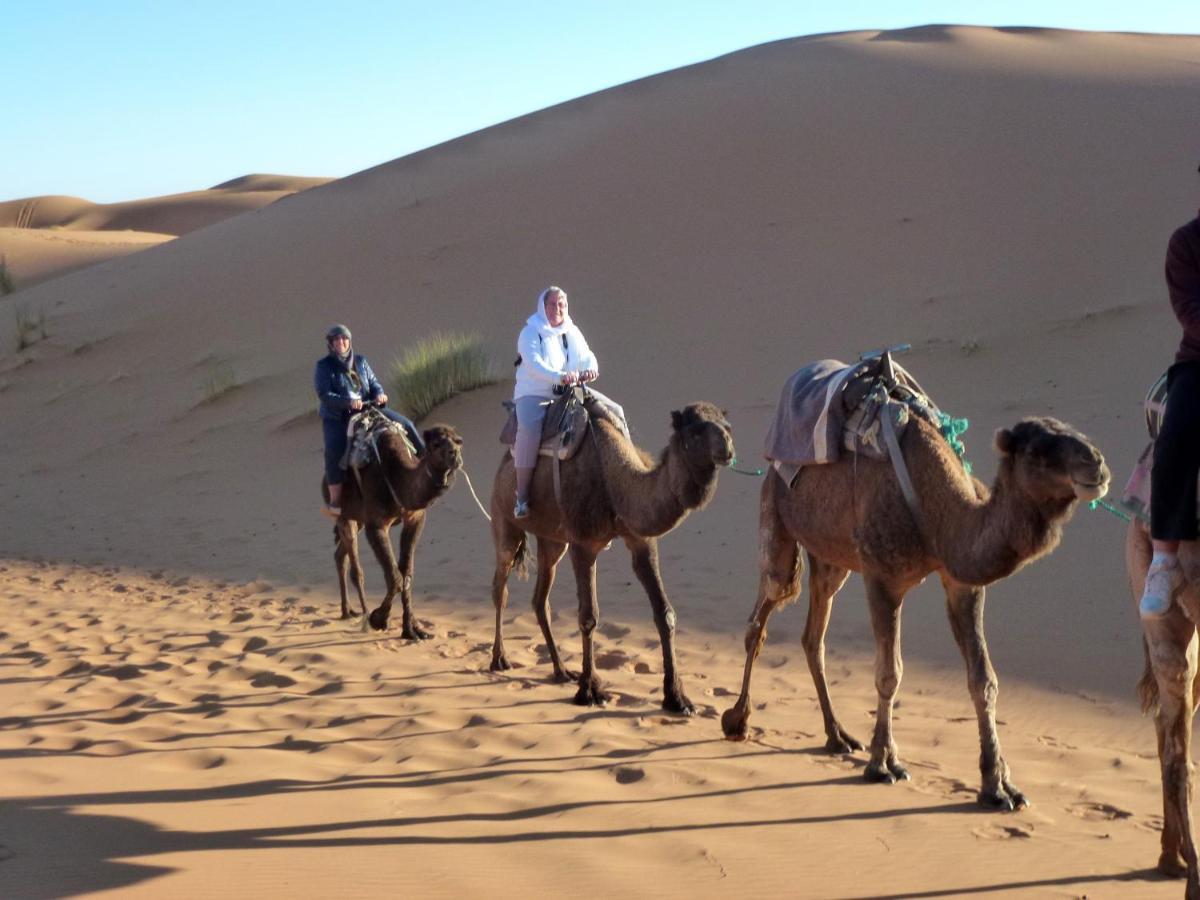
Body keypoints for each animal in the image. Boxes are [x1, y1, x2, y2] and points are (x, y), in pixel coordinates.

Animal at [324, 424, 463, 643]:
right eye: (435, 443)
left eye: (459, 441)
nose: (455, 454)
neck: (398, 478)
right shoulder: (376, 525)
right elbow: (395, 578)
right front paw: (379, 618)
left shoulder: (415, 519)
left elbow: (407, 575)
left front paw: (412, 629)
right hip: (344, 515)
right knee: (355, 568)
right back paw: (363, 615)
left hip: (358, 520)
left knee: (340, 556)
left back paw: (348, 611)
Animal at [484, 398, 729, 715]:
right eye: (696, 430)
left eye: (726, 424)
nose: (728, 444)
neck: (616, 483)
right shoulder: (583, 545)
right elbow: (588, 616)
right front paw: (590, 691)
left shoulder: (641, 541)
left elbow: (665, 614)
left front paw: (678, 699)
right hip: (505, 519)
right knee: (500, 586)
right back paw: (499, 659)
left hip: (553, 541)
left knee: (540, 600)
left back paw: (561, 670)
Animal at [715, 410, 1108, 811]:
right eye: (1035, 451)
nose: (1096, 462)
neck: (940, 516)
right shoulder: (881, 577)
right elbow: (889, 673)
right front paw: (882, 765)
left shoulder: (962, 585)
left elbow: (983, 679)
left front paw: (998, 787)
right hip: (775, 517)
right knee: (761, 616)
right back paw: (738, 719)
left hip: (831, 558)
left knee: (813, 636)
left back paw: (837, 735)